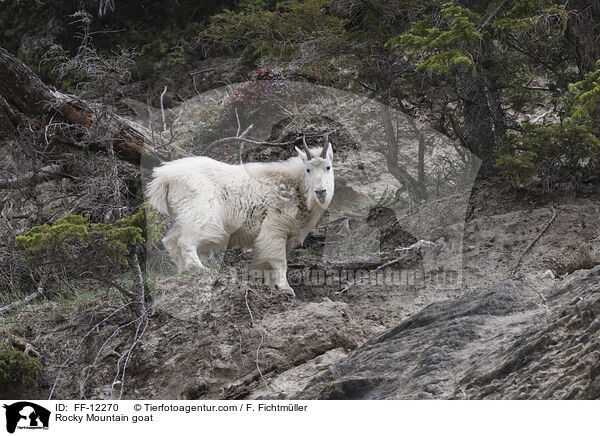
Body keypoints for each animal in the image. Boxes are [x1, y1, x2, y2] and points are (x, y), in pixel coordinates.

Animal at [145, 133, 332, 296]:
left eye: (328, 167)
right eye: (308, 169)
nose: (321, 191)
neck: (294, 186)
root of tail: (163, 178)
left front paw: (271, 287)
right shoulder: (274, 227)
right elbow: (279, 261)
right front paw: (286, 289)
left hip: (184, 216)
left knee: (170, 240)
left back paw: (183, 271)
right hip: (200, 214)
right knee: (185, 240)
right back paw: (199, 269)